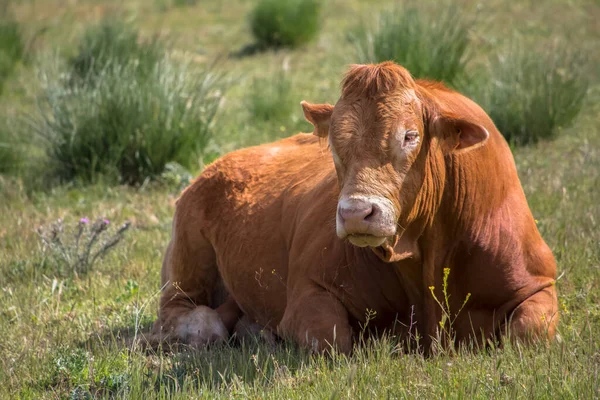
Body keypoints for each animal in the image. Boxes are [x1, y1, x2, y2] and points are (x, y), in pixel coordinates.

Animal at [150, 61, 556, 354]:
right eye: (332, 142)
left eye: (410, 136)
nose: (355, 213)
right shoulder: (306, 291)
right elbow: (332, 338)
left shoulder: (539, 281)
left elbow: (527, 333)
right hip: (186, 263)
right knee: (190, 318)